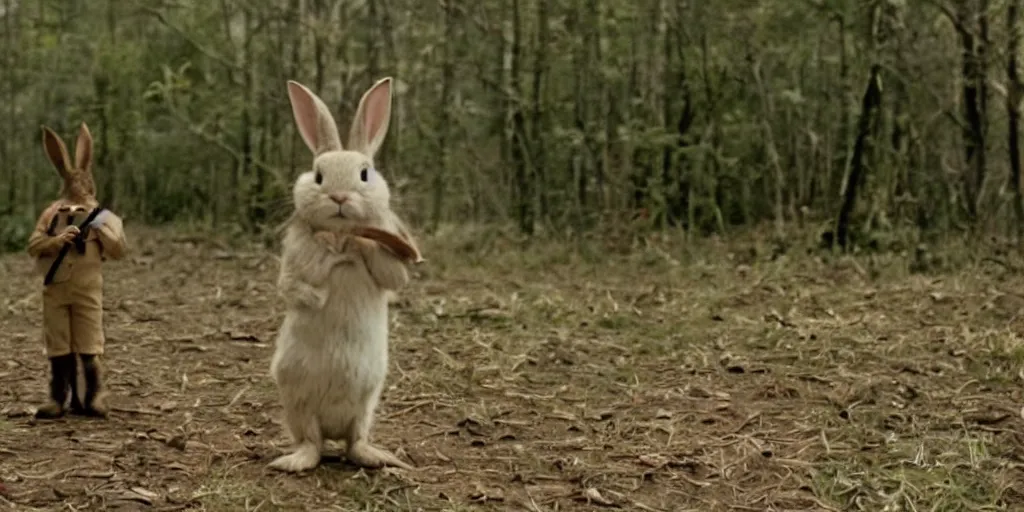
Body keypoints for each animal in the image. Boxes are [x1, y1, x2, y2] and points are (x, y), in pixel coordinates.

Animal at [270, 77, 421, 473]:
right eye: (318, 175)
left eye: (365, 174)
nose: (339, 197)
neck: (340, 235)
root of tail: (333, 430)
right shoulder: (294, 260)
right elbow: (291, 286)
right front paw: (321, 292)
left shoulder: (390, 262)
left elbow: (393, 276)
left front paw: (358, 245)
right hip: (299, 402)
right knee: (312, 442)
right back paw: (291, 462)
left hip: (366, 404)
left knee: (355, 443)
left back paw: (382, 458)